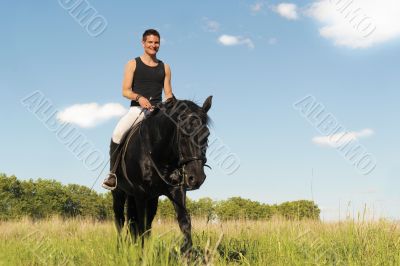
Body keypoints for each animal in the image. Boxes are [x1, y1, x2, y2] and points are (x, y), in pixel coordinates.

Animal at [111, 96, 212, 254]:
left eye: (206, 135)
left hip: (151, 198)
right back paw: (120, 249)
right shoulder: (140, 193)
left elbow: (185, 222)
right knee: (120, 220)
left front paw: (188, 254)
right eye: (183, 134)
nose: (196, 178)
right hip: (119, 192)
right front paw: (142, 255)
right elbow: (141, 225)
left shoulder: (176, 190)